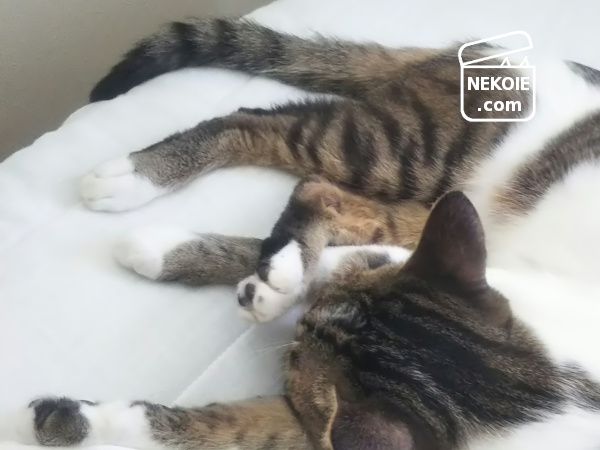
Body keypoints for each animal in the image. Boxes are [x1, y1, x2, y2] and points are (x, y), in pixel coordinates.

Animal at [5, 17, 600, 449]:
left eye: (292, 365)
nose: (292, 327)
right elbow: (331, 254)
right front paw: (272, 281)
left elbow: (229, 426)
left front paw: (81, 421)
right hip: (412, 149)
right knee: (275, 141)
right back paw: (135, 178)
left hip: (438, 200)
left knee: (330, 194)